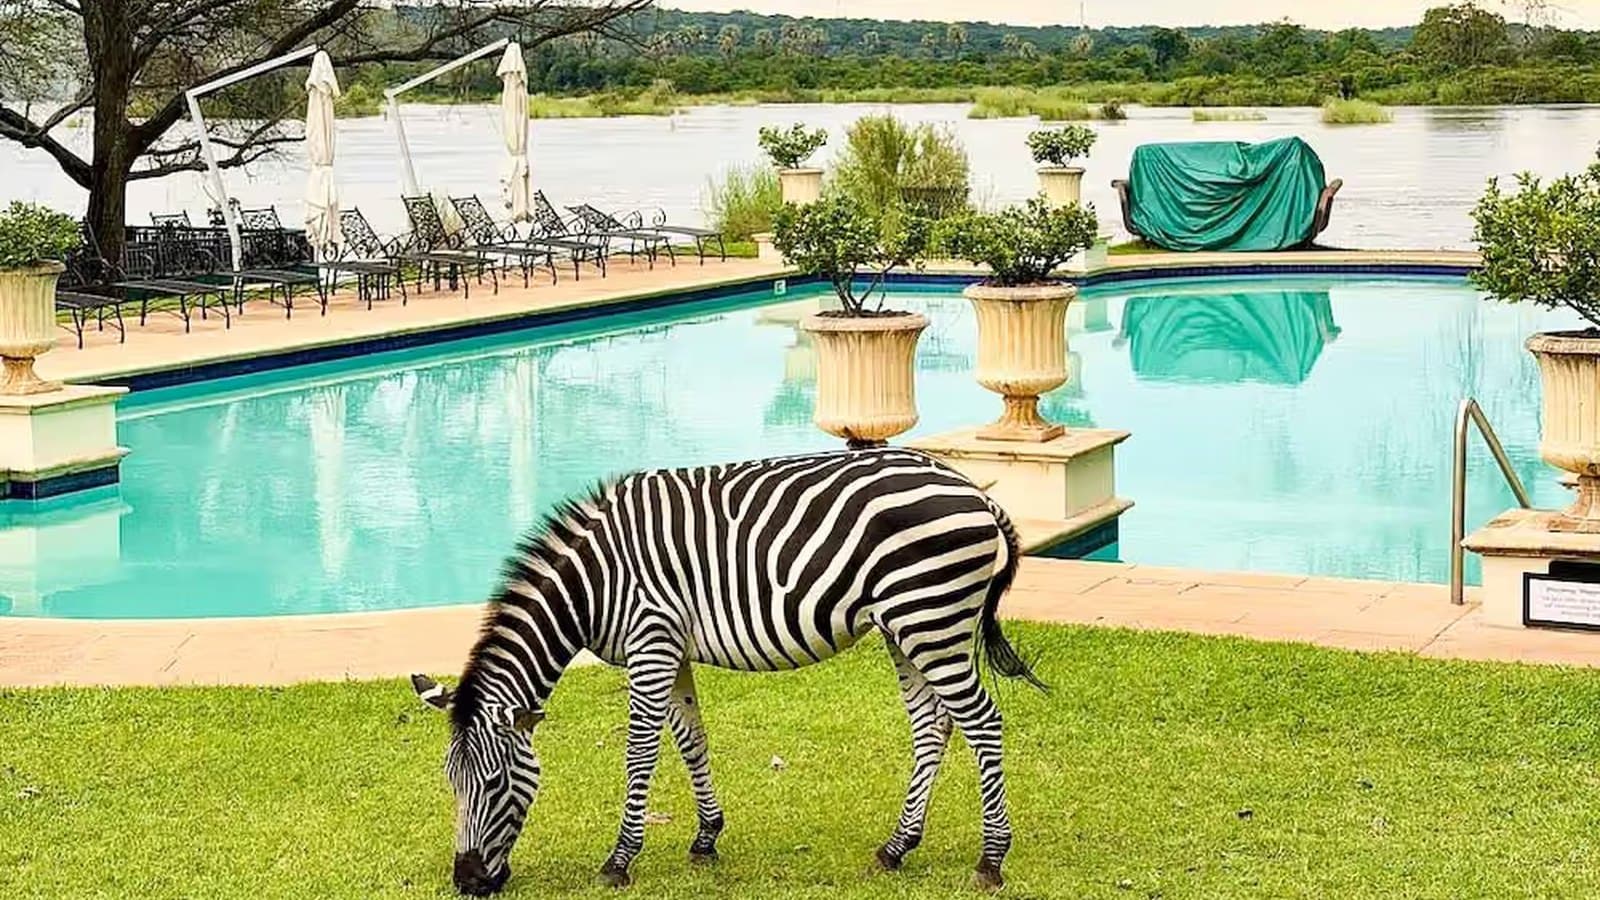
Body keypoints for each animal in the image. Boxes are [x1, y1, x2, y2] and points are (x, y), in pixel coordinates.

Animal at [410, 446, 1045, 896]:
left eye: (494, 783)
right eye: (450, 784)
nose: (467, 883)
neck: (591, 586)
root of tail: (976, 492)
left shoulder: (651, 642)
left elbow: (640, 750)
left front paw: (619, 860)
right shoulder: (670, 648)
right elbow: (691, 739)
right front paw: (705, 839)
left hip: (929, 616)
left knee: (982, 721)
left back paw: (991, 860)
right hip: (906, 625)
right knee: (933, 725)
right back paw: (896, 847)